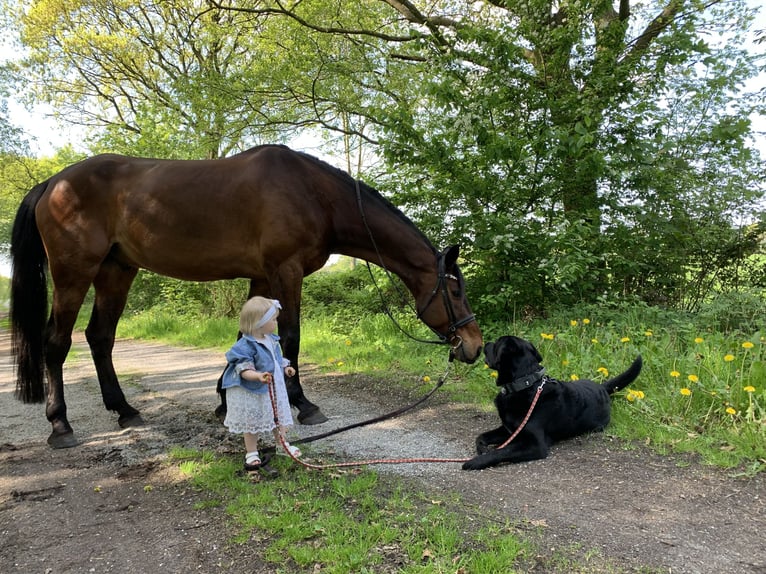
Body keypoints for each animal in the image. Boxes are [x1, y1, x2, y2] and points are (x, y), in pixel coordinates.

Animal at [9, 144, 484, 450]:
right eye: (454, 290)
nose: (475, 345)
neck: (313, 193)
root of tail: (53, 182)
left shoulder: (260, 277)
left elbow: (244, 340)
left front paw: (224, 403)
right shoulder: (285, 271)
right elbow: (288, 338)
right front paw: (303, 404)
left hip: (116, 271)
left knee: (100, 337)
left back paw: (125, 410)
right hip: (74, 273)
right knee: (57, 342)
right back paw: (61, 425)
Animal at [464, 338, 644, 472]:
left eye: (496, 344)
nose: (486, 343)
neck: (525, 384)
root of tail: (602, 387)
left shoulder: (536, 445)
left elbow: (502, 451)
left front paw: (475, 461)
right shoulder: (509, 429)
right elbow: (481, 436)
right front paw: (482, 449)